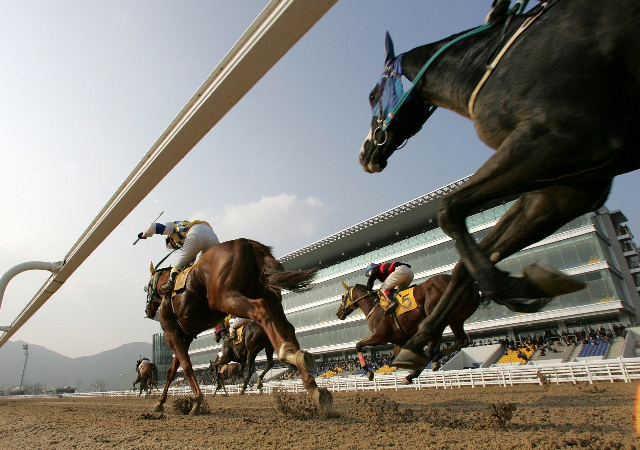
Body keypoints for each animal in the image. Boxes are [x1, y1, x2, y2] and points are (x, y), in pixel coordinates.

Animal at [144, 239, 330, 414]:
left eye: (147, 288)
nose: (148, 310)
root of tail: (248, 243)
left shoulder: (171, 335)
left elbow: (186, 366)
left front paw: (196, 401)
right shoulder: (184, 337)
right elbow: (172, 371)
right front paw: (160, 402)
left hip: (227, 298)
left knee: (260, 311)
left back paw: (285, 355)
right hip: (270, 297)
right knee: (286, 327)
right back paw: (310, 381)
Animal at [338, 274, 482, 384]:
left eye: (343, 297)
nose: (338, 313)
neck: (373, 306)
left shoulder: (380, 336)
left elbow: (358, 345)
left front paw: (368, 372)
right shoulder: (399, 340)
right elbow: (393, 359)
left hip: (437, 315)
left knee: (432, 347)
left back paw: (415, 372)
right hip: (455, 320)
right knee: (460, 341)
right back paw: (430, 363)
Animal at [356, 0, 640, 370]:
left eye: (373, 94)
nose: (365, 154)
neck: (484, 65)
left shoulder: (558, 142)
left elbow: (449, 209)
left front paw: (509, 283)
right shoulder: (565, 189)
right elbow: (467, 257)